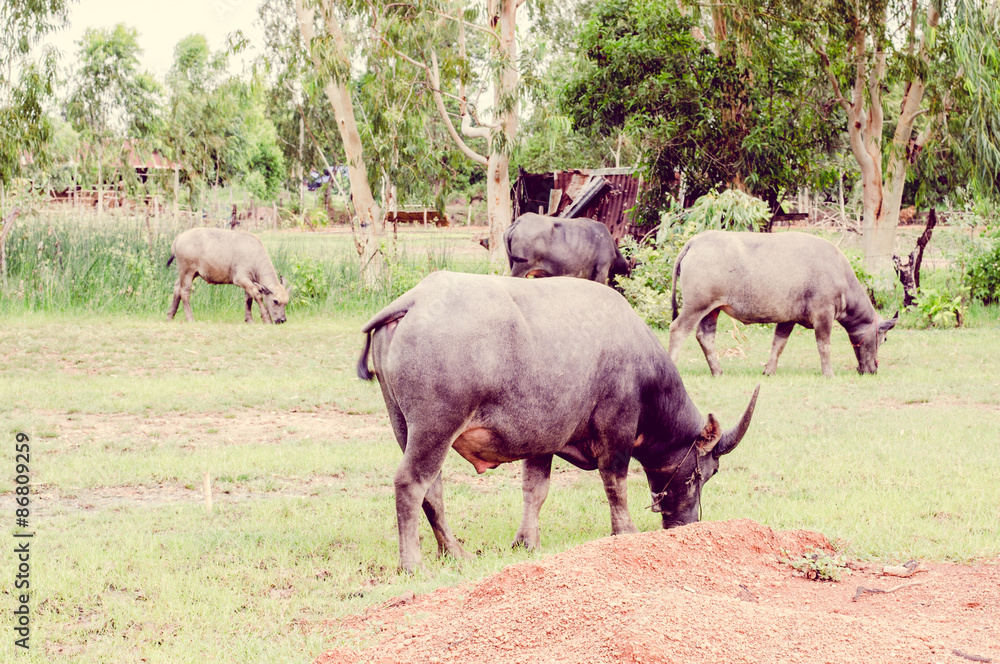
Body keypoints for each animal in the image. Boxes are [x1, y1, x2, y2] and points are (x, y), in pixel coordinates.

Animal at [357, 270, 759, 572]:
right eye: (703, 473)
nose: (687, 525)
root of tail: (415, 300)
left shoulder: (542, 440)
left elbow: (535, 490)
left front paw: (527, 542)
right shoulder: (617, 430)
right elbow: (615, 483)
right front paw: (625, 531)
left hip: (404, 426)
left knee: (433, 489)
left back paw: (454, 551)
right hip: (436, 427)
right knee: (411, 484)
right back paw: (412, 563)